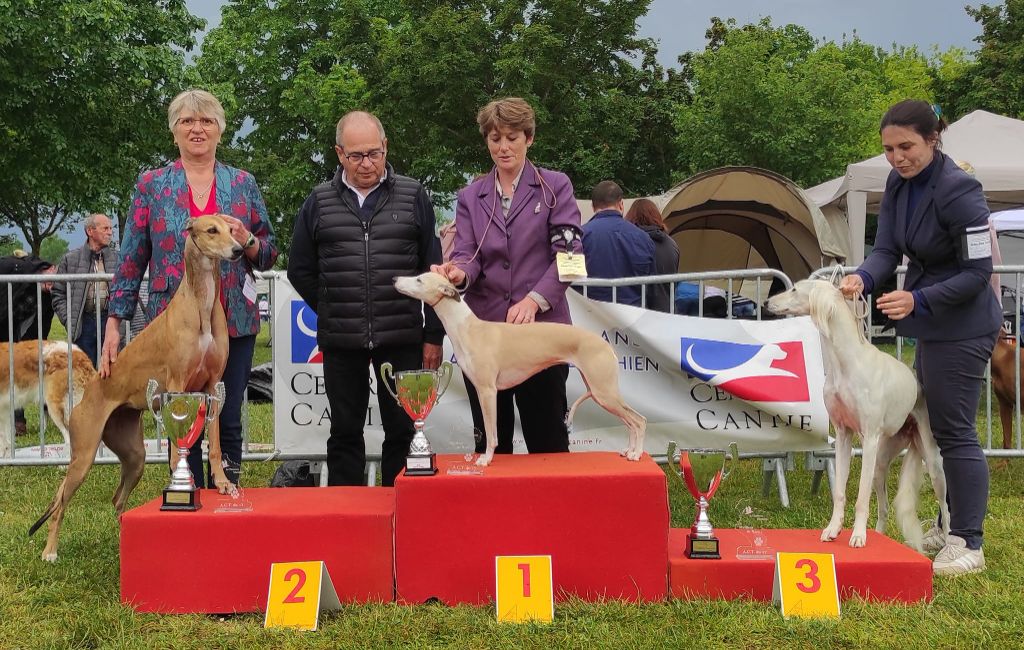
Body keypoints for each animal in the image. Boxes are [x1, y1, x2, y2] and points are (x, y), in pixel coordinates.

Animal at [29, 215, 241, 560]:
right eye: (212, 230)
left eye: (232, 229)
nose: (238, 250)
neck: (201, 303)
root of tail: (89, 391)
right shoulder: (178, 385)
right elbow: (176, 454)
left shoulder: (212, 388)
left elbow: (216, 444)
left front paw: (222, 484)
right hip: (83, 456)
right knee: (60, 504)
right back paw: (50, 552)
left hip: (134, 456)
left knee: (117, 499)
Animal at [393, 272, 647, 464]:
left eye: (419, 280)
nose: (395, 279)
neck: (468, 328)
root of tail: (607, 345)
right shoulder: (482, 391)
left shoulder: (488, 391)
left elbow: (491, 432)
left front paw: (485, 459)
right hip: (600, 391)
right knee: (630, 421)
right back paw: (628, 451)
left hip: (604, 392)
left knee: (639, 420)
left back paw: (636, 454)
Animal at [765, 278, 946, 548]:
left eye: (795, 289)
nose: (767, 303)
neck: (846, 363)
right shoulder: (842, 435)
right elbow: (839, 492)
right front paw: (833, 529)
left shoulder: (868, 438)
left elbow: (861, 497)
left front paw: (858, 535)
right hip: (881, 463)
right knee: (883, 508)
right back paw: (879, 535)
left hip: (931, 462)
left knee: (946, 508)